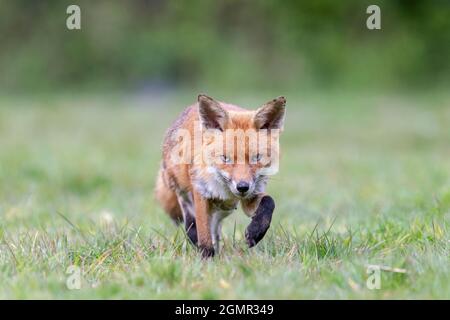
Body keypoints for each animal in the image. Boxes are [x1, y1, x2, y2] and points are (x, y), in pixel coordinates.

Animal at [156, 94, 286, 258]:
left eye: (256, 158)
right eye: (225, 158)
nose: (242, 187)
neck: (224, 188)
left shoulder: (250, 197)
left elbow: (269, 202)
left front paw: (255, 232)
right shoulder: (201, 194)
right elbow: (204, 234)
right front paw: (206, 258)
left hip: (225, 209)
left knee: (216, 229)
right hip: (182, 192)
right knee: (191, 224)